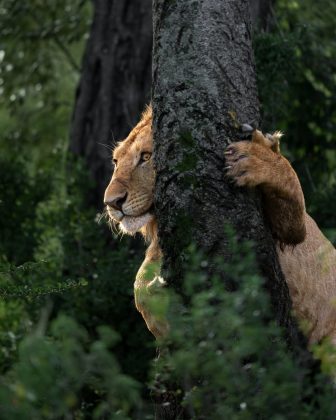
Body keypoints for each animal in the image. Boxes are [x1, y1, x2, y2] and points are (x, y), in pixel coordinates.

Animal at [103, 106, 336, 344]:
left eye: (146, 157)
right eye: (116, 162)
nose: (111, 202)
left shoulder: (294, 229)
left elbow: (287, 174)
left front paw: (257, 152)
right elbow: (139, 284)